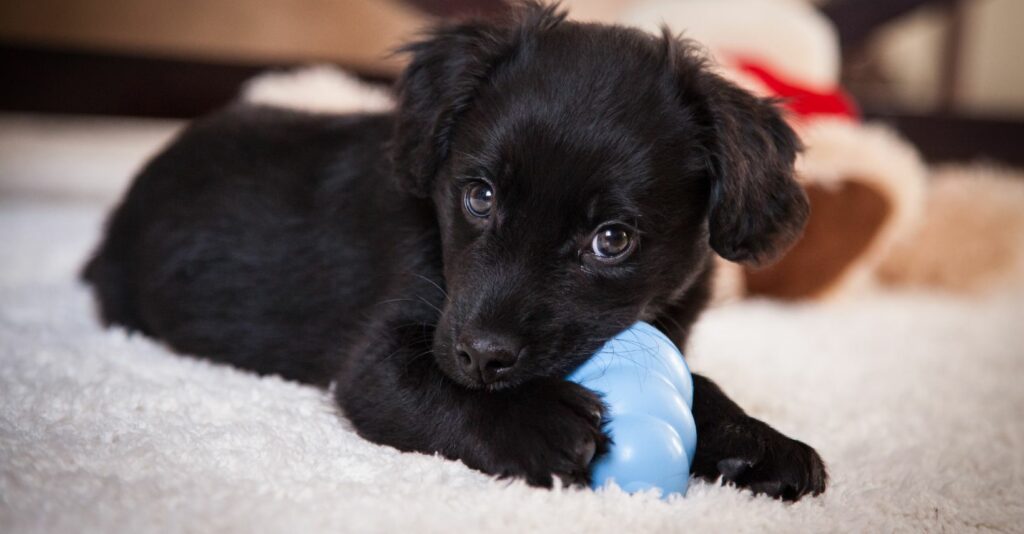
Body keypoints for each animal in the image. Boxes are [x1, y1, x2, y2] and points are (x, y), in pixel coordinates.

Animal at [83, 3, 827, 500]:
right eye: (480, 196)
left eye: (611, 240)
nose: (482, 357)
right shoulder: (379, 359)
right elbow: (422, 382)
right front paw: (535, 421)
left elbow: (701, 383)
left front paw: (758, 442)